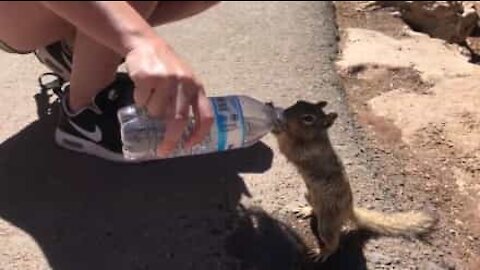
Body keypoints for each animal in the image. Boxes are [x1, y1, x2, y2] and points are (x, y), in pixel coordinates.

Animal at [272, 100, 436, 260]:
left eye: (308, 118)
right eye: (298, 102)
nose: (284, 113)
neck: (316, 138)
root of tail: (348, 209)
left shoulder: (305, 151)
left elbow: (286, 146)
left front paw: (277, 127)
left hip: (327, 224)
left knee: (333, 241)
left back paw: (323, 252)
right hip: (309, 195)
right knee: (315, 210)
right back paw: (307, 210)